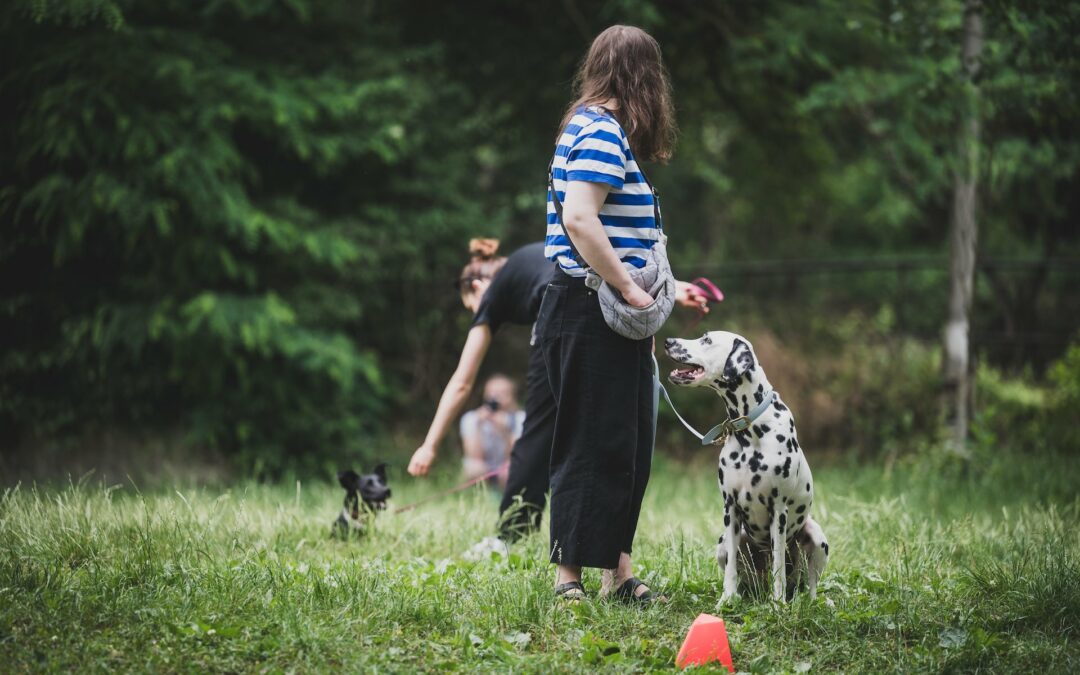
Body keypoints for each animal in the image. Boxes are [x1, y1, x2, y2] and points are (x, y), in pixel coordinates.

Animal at [665, 332, 825, 600]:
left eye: (707, 340)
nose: (667, 341)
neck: (751, 429)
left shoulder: (778, 511)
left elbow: (779, 568)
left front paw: (778, 603)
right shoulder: (730, 509)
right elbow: (731, 569)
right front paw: (726, 600)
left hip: (817, 538)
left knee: (810, 584)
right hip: (724, 543)